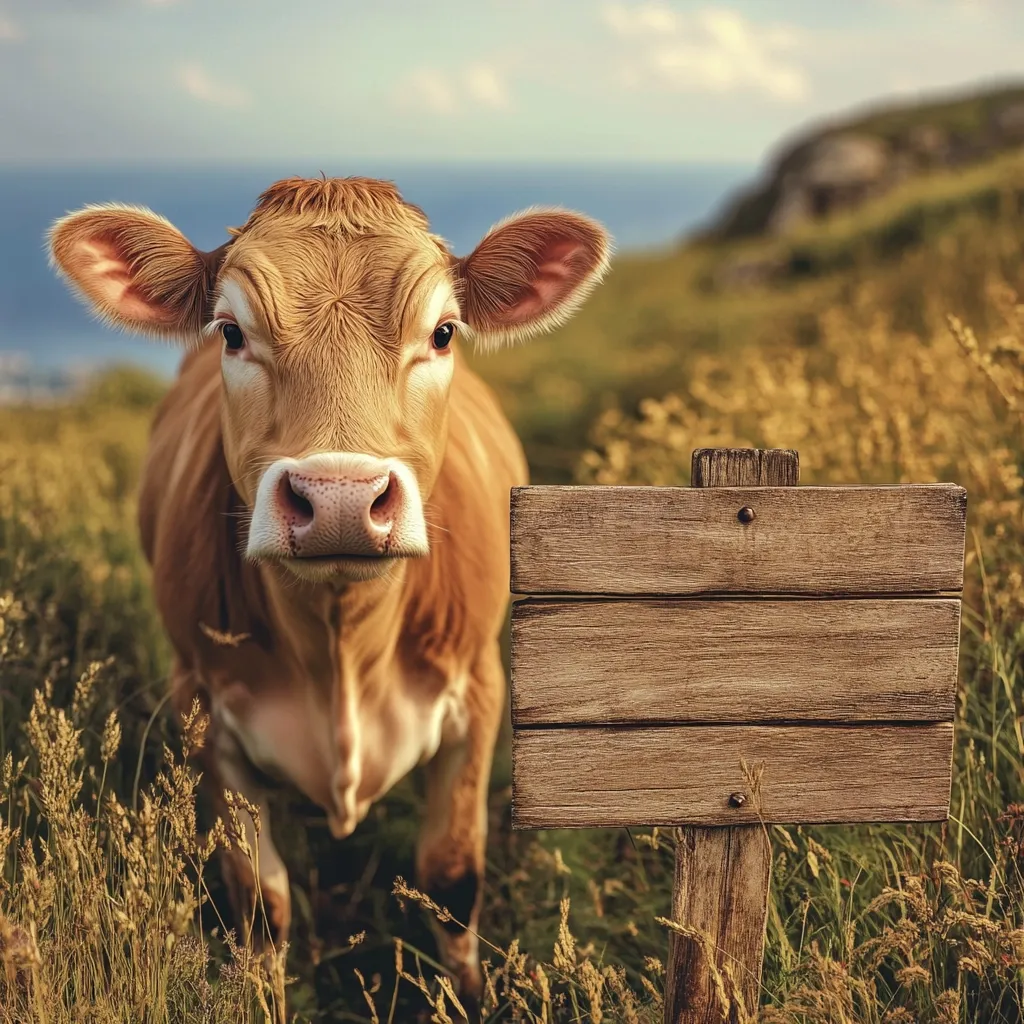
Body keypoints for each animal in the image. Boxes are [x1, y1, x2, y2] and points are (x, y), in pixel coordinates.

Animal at [48, 176, 610, 1009]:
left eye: (444, 332)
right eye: (230, 333)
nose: (341, 499)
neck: (343, 649)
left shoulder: (479, 690)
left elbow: (451, 876)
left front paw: (467, 999)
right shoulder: (201, 702)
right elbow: (258, 903)